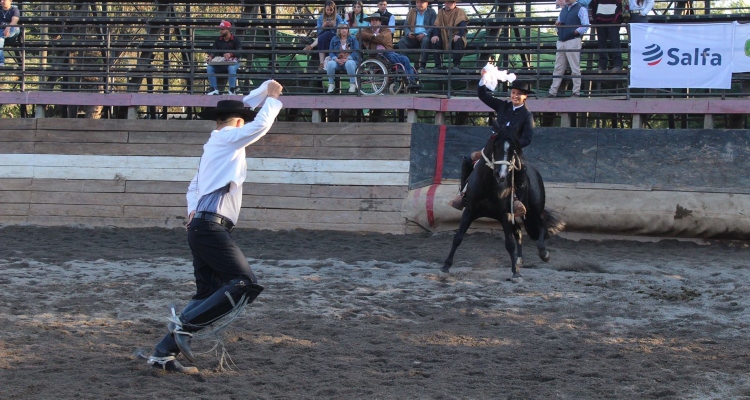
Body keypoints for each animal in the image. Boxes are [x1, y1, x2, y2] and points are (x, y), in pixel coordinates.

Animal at [440, 128, 564, 282]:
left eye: (512, 150)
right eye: (496, 147)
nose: (502, 175)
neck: (488, 184)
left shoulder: (505, 214)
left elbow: (509, 243)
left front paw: (515, 273)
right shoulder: (470, 211)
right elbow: (458, 237)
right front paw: (445, 266)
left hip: (535, 208)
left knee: (542, 226)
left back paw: (543, 252)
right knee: (519, 231)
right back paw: (519, 259)